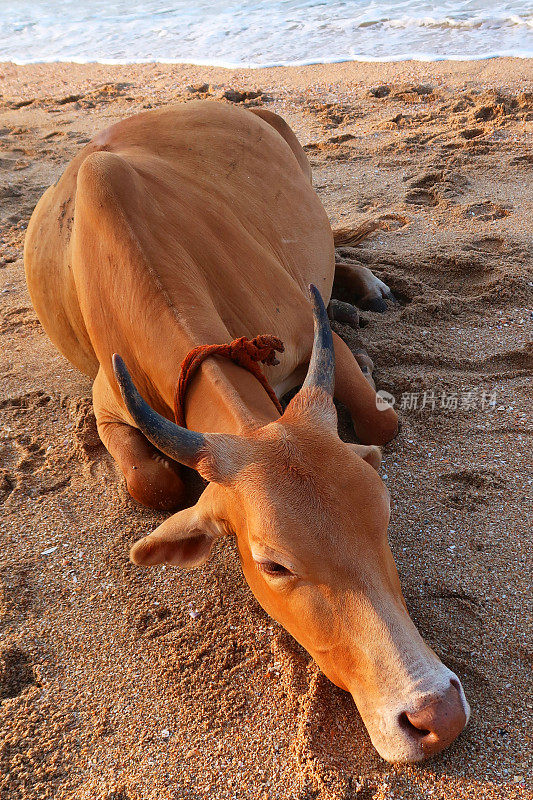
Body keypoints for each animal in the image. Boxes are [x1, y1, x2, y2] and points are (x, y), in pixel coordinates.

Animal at [25, 100, 468, 764]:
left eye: (384, 515)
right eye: (273, 565)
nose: (436, 713)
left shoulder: (313, 339)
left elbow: (382, 420)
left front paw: (366, 362)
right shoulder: (107, 401)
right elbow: (152, 486)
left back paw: (363, 290)